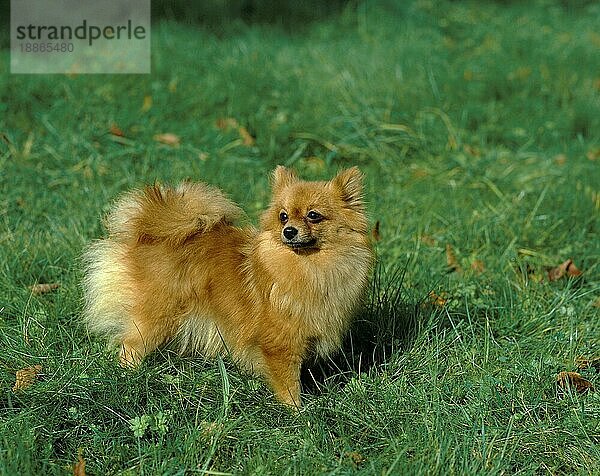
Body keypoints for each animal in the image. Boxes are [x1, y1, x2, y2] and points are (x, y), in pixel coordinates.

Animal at [82, 166, 372, 406]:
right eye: (283, 216)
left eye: (314, 216)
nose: (288, 231)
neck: (309, 268)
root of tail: (148, 234)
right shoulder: (279, 345)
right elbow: (288, 385)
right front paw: (298, 414)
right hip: (156, 317)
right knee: (130, 347)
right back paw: (128, 376)